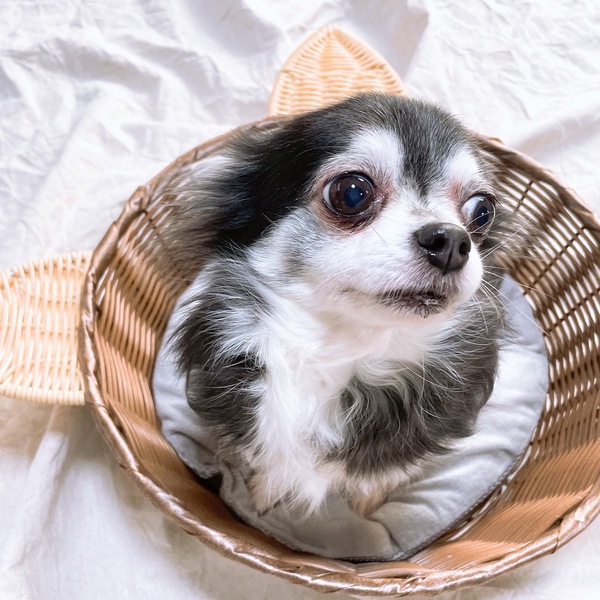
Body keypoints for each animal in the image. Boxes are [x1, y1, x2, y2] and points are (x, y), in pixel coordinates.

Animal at [161, 92, 511, 516]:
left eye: (482, 211)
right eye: (352, 192)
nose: (451, 241)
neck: (341, 350)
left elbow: (378, 474)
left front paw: (367, 502)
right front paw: (263, 495)